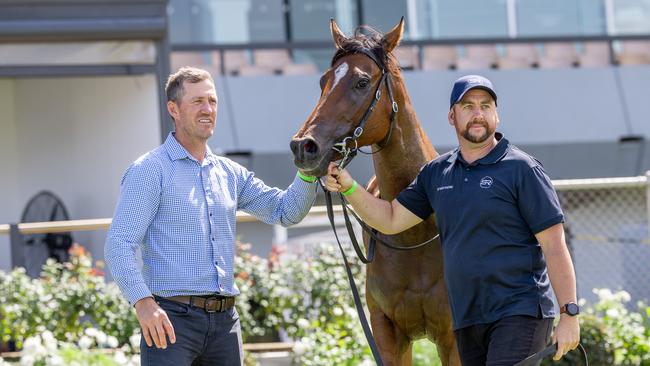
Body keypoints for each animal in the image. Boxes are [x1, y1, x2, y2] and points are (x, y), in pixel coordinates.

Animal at [288, 19, 460, 366]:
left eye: (362, 82)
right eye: (324, 81)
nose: (304, 147)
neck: (416, 230)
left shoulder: (453, 338)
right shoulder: (387, 333)